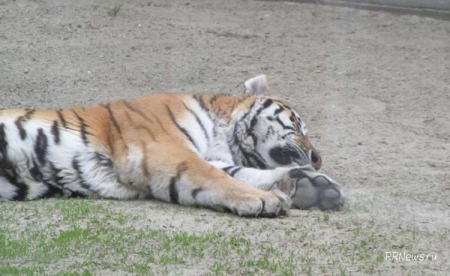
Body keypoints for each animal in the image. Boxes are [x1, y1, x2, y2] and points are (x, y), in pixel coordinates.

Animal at [0, 75, 344, 216]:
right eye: (297, 124)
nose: (317, 158)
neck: (224, 134)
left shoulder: (211, 158)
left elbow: (239, 173)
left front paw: (313, 187)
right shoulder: (165, 148)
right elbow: (215, 177)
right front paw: (264, 200)